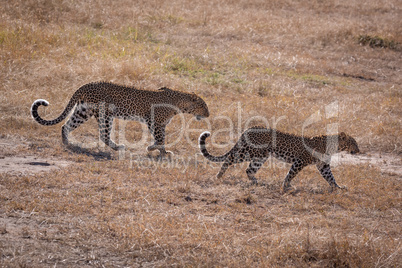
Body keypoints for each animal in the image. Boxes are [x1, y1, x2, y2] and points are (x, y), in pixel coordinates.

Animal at [30, 80, 207, 156]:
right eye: (204, 106)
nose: (208, 114)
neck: (180, 103)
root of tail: (87, 84)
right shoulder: (154, 122)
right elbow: (160, 139)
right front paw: (158, 150)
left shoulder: (160, 124)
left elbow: (161, 138)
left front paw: (158, 150)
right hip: (105, 114)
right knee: (103, 134)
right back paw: (118, 148)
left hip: (83, 111)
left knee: (65, 125)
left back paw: (67, 143)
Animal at [199, 126, 360, 192]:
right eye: (353, 143)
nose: (358, 151)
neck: (333, 147)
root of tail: (249, 129)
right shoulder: (300, 161)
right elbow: (291, 174)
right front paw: (286, 186)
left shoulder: (323, 165)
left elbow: (330, 177)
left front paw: (338, 188)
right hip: (248, 152)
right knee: (229, 159)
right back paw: (219, 176)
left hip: (260, 156)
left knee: (249, 170)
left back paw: (256, 182)